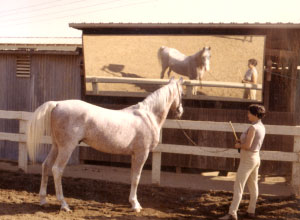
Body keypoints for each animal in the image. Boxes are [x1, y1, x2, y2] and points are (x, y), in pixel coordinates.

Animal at [27, 78, 184, 213]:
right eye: (182, 93)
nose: (180, 112)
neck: (147, 116)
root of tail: (57, 104)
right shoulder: (141, 153)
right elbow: (136, 178)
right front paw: (135, 205)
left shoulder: (134, 155)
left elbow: (132, 176)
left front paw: (132, 202)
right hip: (66, 148)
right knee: (57, 170)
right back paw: (64, 205)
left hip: (56, 146)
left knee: (46, 166)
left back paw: (43, 201)